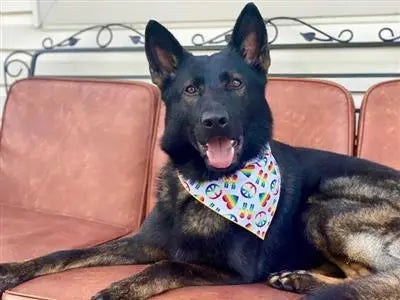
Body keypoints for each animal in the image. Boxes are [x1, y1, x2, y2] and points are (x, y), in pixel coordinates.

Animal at [0, 2, 400, 300]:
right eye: (191, 90)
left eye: (235, 84)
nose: (215, 121)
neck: (199, 183)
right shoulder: (141, 243)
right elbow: (68, 253)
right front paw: (12, 269)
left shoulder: (229, 269)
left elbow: (166, 265)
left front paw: (116, 290)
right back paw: (299, 277)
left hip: (323, 205)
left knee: (375, 278)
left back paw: (305, 280)